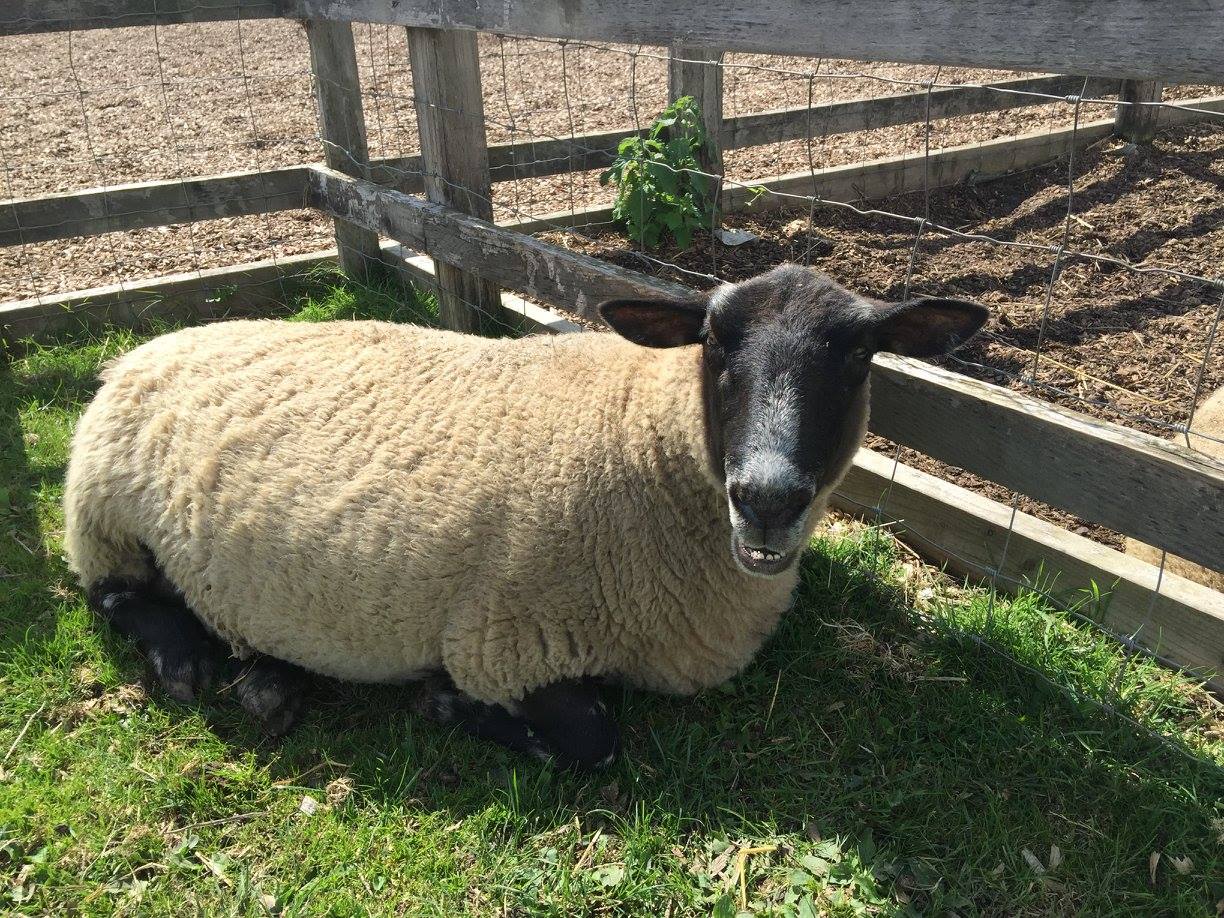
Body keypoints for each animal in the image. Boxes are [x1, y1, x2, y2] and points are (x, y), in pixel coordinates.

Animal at [62, 265, 988, 768]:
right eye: (715, 342)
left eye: (860, 356)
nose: (766, 499)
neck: (639, 440)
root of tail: (143, 350)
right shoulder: (501, 645)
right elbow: (592, 736)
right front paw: (446, 706)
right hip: (102, 512)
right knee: (115, 596)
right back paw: (189, 661)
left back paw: (269, 681)